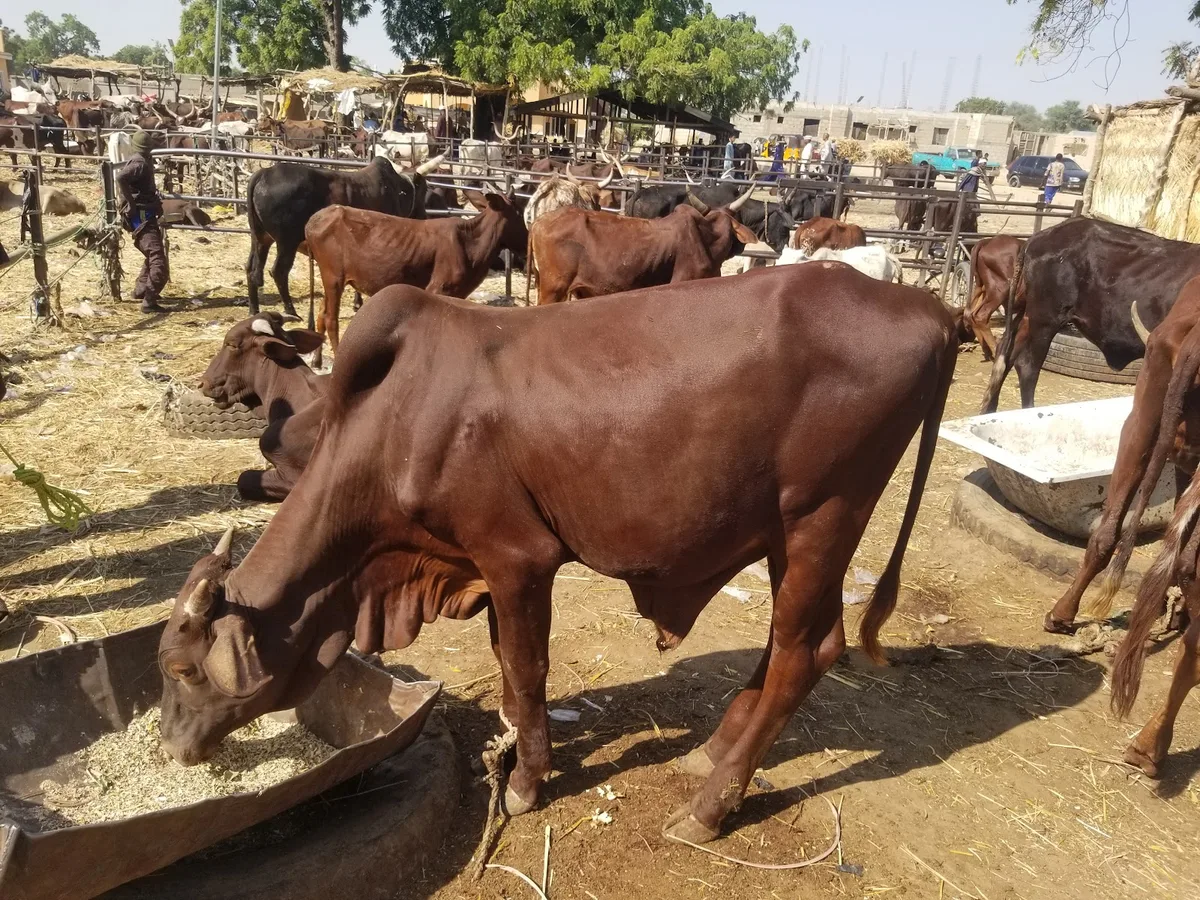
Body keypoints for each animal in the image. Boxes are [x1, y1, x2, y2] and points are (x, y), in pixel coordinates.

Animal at [244, 153, 444, 317]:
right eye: (424, 190)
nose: (424, 216)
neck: (398, 189)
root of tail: (264, 173)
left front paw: (358, 303)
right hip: (287, 241)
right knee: (279, 271)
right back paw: (290, 310)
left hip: (260, 238)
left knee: (251, 268)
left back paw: (254, 310)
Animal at [305, 191, 527, 358]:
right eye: (518, 214)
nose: (526, 244)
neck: (471, 245)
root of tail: (314, 220)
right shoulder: (439, 288)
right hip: (334, 276)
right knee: (331, 319)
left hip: (331, 279)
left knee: (322, 313)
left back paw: (317, 360)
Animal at [981, 218, 1200, 414]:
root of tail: (1037, 239)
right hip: (1045, 319)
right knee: (1027, 365)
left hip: (1028, 315)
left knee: (1006, 352)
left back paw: (988, 410)